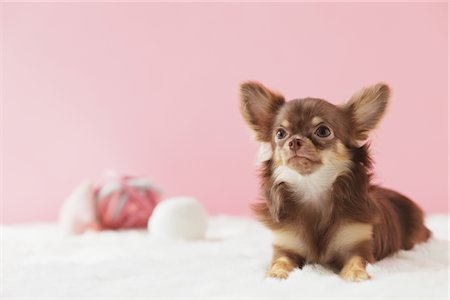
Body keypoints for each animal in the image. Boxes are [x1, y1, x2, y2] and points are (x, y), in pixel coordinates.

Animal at [241, 80, 430, 282]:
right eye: (280, 134)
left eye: (323, 131)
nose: (294, 141)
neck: (313, 188)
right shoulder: (286, 247)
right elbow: (281, 261)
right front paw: (276, 273)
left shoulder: (357, 247)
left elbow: (356, 261)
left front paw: (356, 274)